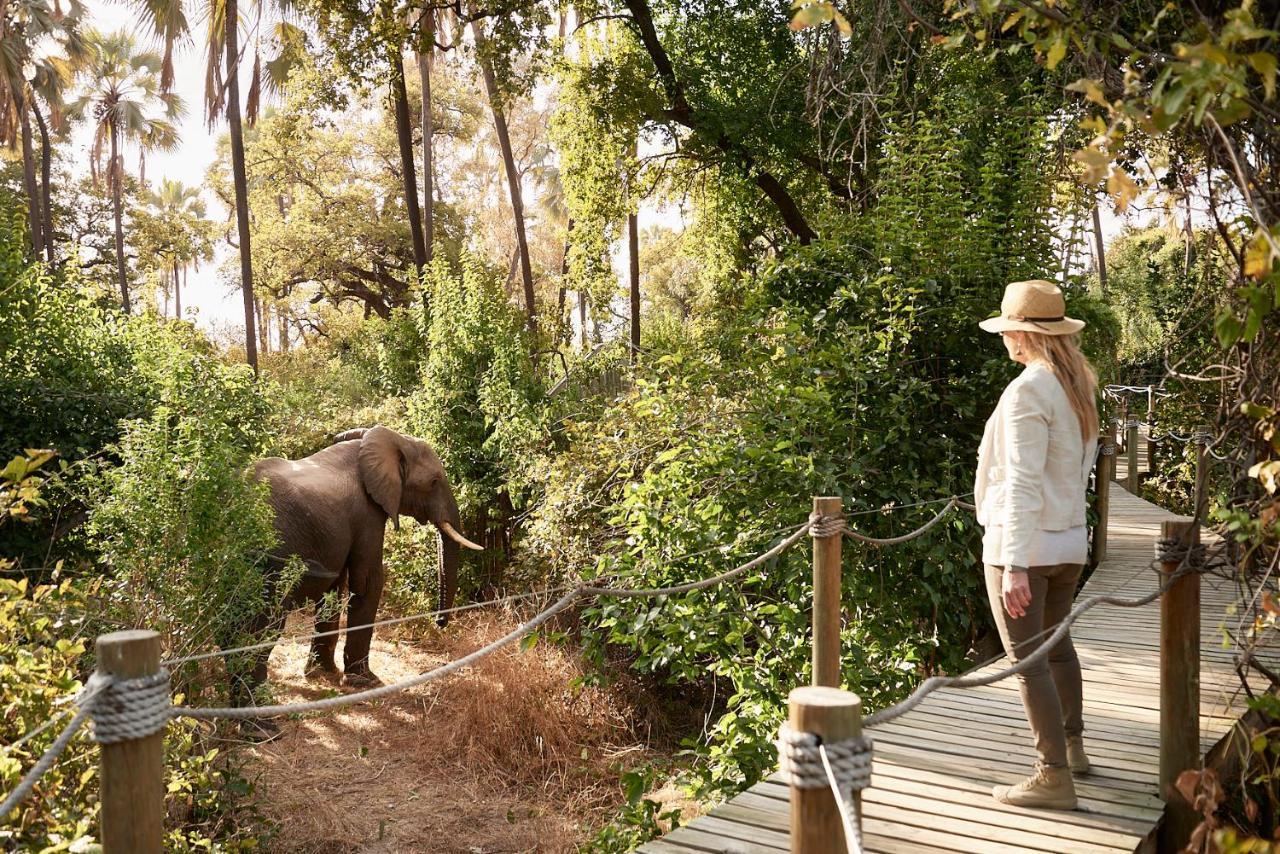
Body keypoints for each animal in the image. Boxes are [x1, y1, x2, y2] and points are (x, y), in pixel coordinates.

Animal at [235, 427, 481, 701]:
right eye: (434, 482)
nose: (440, 622)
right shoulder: (367, 513)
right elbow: (368, 581)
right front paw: (367, 682)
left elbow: (335, 587)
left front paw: (324, 674)